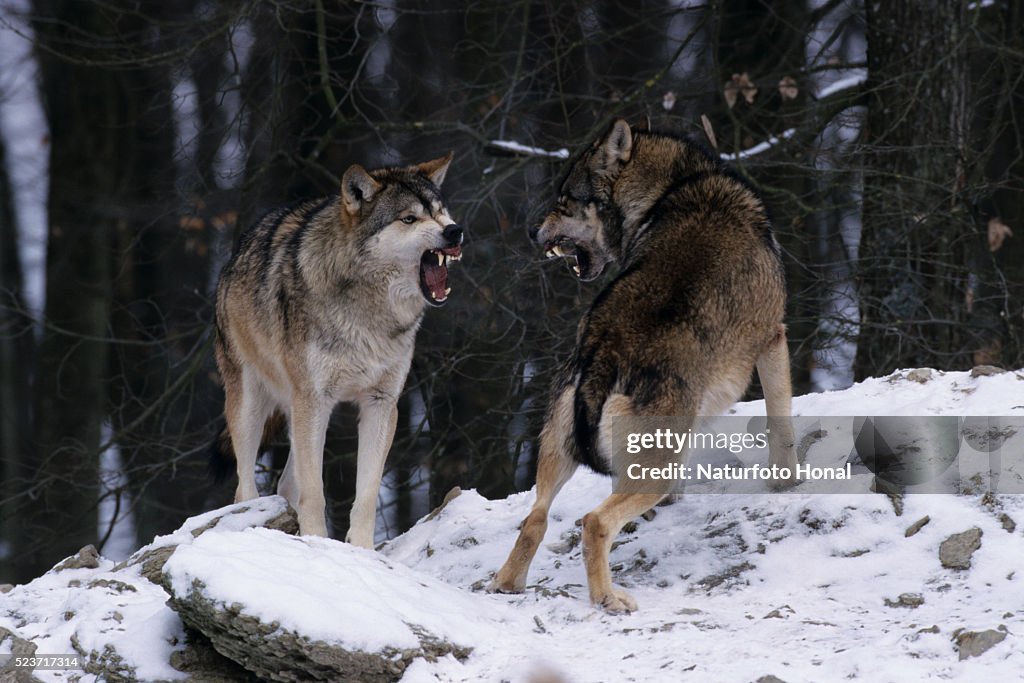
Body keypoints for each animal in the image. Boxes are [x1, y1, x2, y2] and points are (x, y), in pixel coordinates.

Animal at [211, 154, 463, 545]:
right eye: (409, 219)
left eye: (440, 212)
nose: (455, 231)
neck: (369, 314)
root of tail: (235, 253)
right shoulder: (315, 401)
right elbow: (315, 492)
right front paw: (317, 541)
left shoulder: (381, 403)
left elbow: (367, 493)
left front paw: (360, 549)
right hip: (252, 405)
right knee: (245, 485)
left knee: (285, 484)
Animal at [488, 120, 796, 612]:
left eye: (565, 199)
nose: (532, 230)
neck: (671, 189)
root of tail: (603, 350)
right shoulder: (773, 338)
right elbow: (781, 420)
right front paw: (789, 483)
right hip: (657, 466)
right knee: (594, 522)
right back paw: (608, 599)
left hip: (558, 451)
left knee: (535, 519)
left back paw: (507, 584)